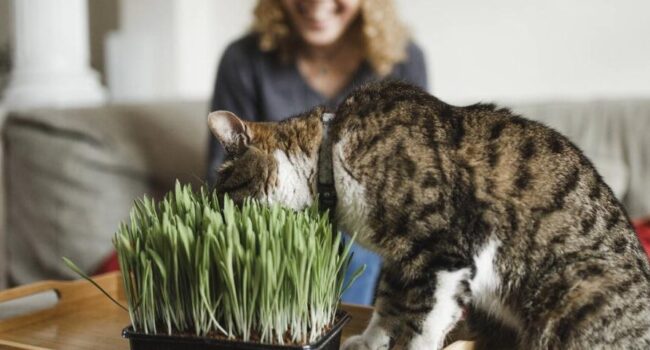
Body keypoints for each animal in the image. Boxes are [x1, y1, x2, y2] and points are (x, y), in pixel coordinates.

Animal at [208, 80, 648, 348]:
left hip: (574, 287)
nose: (219, 215)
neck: (330, 154)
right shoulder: (401, 257)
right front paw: (369, 341)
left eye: (225, 190)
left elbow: (424, 320)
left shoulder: (442, 250)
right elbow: (388, 305)